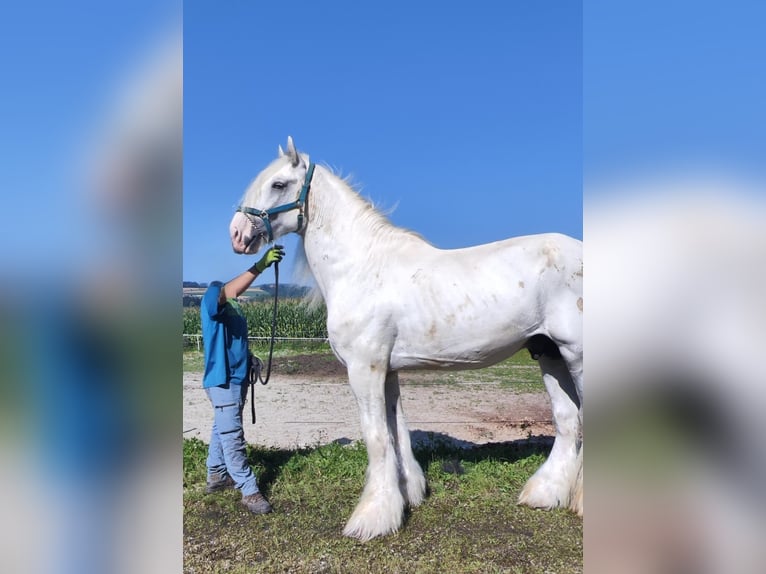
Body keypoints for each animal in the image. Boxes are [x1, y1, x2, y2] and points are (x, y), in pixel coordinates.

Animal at [229, 137, 583, 541]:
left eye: (278, 184)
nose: (237, 234)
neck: (362, 268)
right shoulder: (388, 370)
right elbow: (396, 431)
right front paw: (407, 494)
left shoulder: (364, 369)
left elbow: (377, 437)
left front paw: (371, 518)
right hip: (550, 353)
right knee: (567, 420)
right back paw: (545, 494)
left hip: (577, 354)